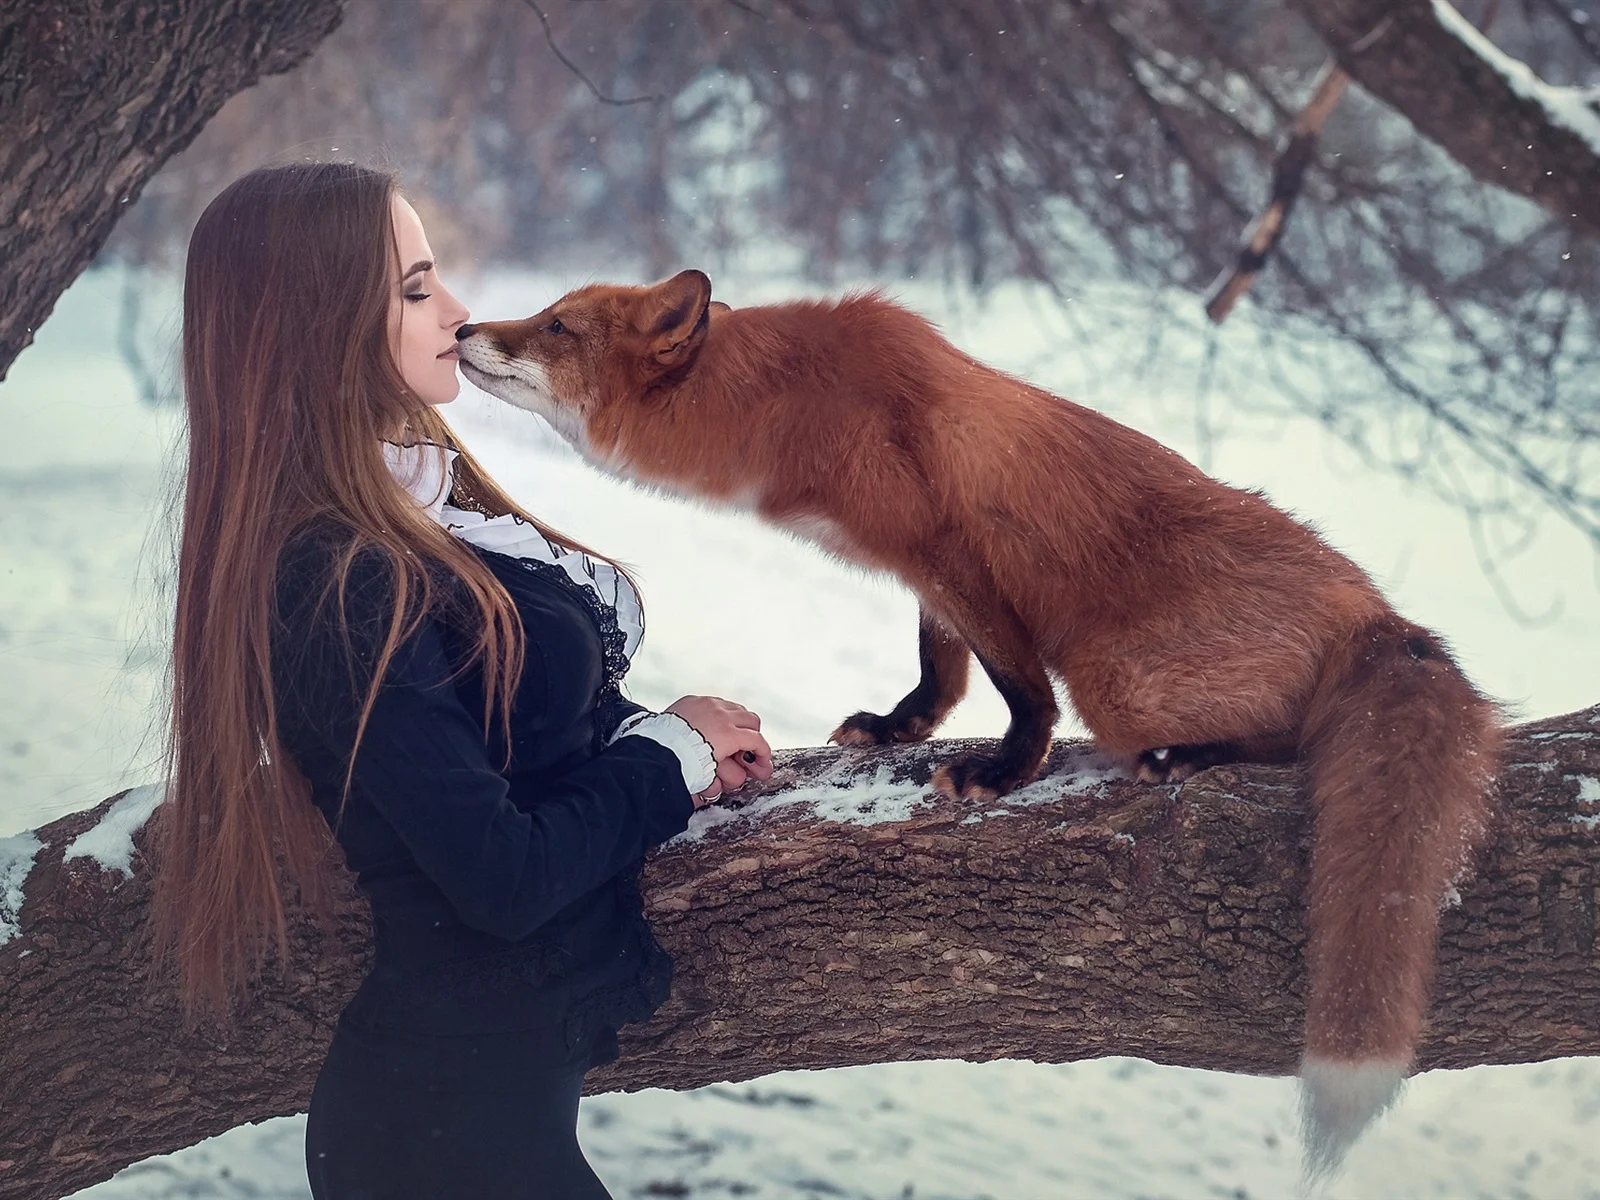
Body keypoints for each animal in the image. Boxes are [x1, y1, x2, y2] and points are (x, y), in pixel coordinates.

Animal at [454, 269, 1502, 1176]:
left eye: (556, 326)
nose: (463, 328)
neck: (789, 405)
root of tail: (1379, 615)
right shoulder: (926, 576)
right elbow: (941, 669)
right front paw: (900, 727)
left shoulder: (953, 554)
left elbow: (1017, 685)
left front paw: (1005, 771)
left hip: (1116, 676)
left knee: (1286, 740)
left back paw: (1189, 756)